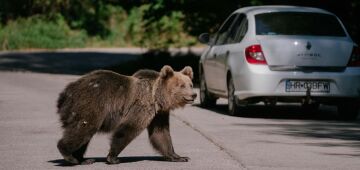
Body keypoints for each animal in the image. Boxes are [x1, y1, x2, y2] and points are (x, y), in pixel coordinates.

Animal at [56, 65, 197, 165]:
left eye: (190, 84)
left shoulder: (159, 114)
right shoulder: (142, 106)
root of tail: (66, 93)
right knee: (83, 129)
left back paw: (83, 159)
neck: (157, 98)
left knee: (84, 134)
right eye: (182, 85)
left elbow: (160, 133)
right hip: (91, 104)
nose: (194, 95)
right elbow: (129, 128)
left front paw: (179, 157)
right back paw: (70, 156)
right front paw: (113, 158)